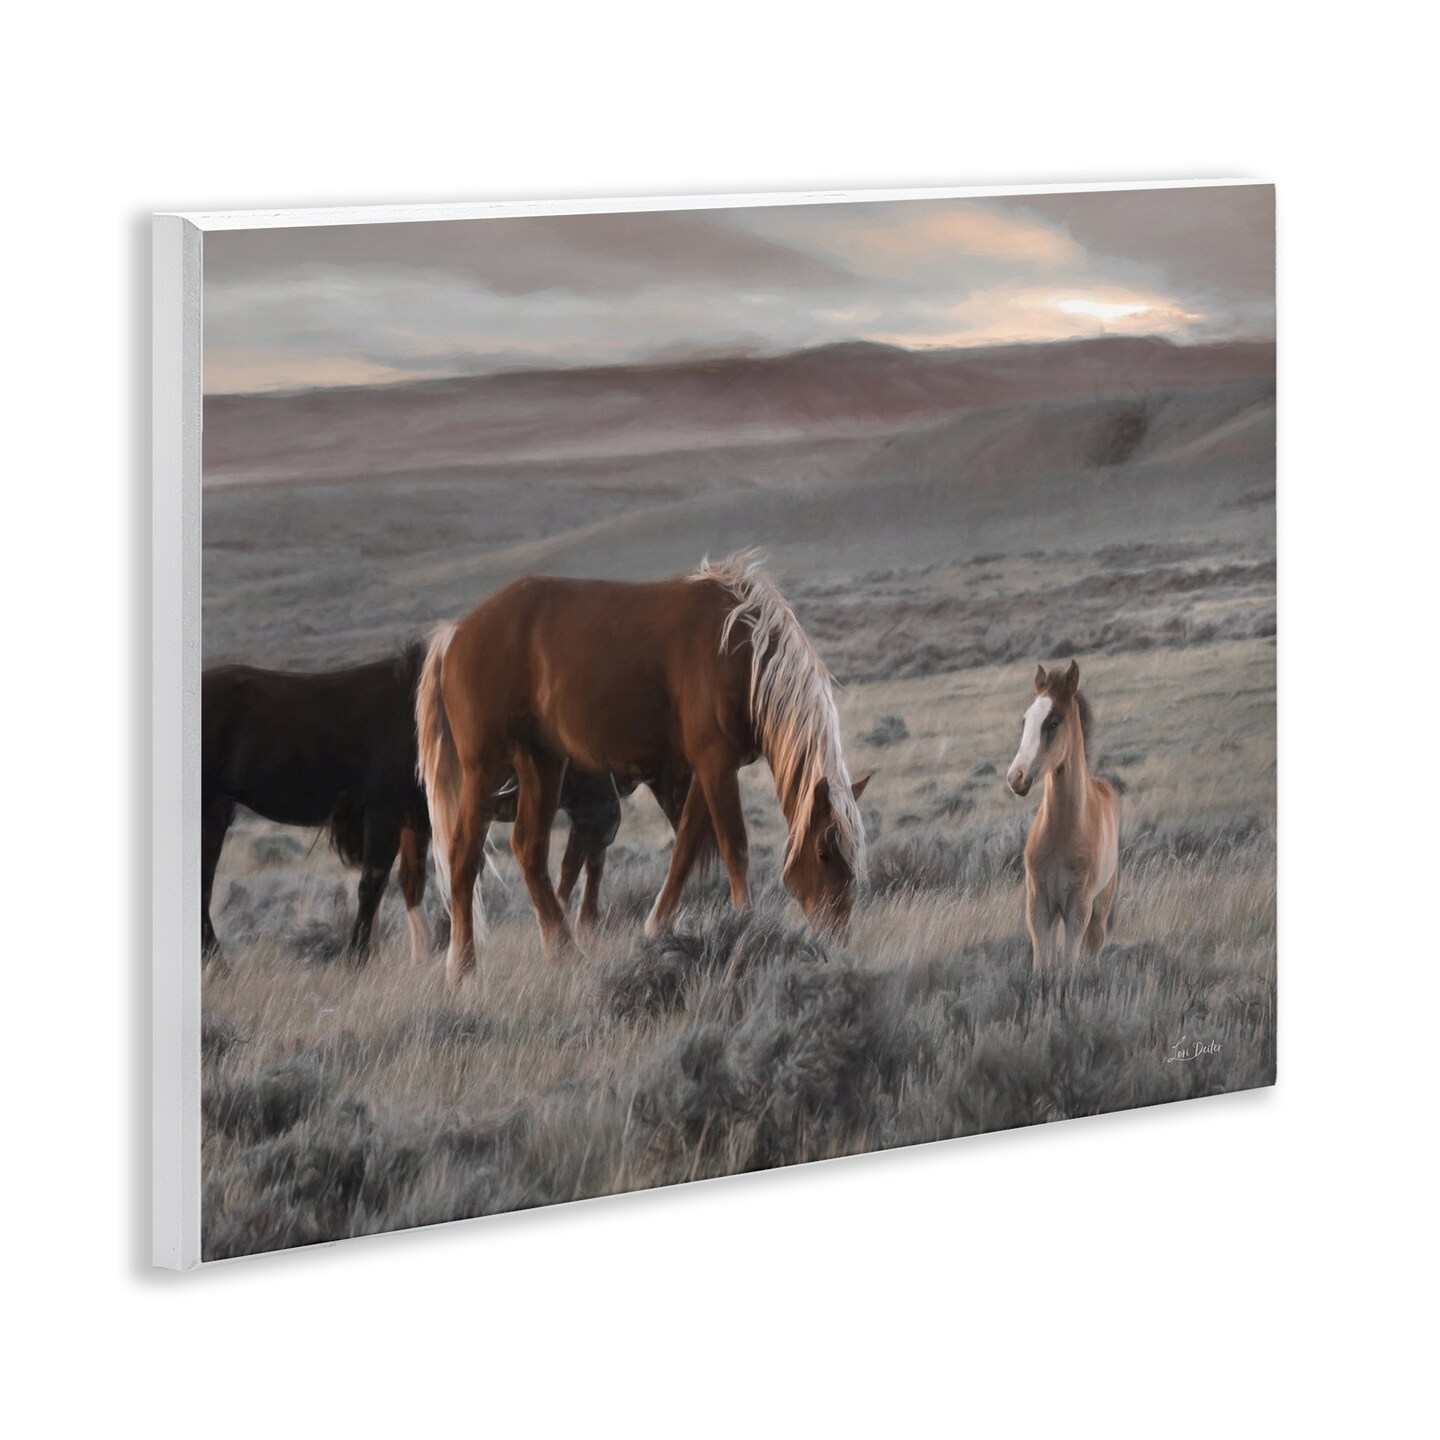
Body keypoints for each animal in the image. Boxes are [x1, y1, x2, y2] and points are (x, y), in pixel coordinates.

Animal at [416, 551, 870, 987]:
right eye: (824, 852)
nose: (838, 937)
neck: (742, 653)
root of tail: (455, 634)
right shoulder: (716, 763)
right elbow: (734, 846)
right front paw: (747, 924)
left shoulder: (706, 770)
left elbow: (685, 847)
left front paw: (656, 929)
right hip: (484, 770)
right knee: (463, 856)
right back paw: (463, 968)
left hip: (543, 763)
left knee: (529, 849)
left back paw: (564, 951)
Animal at [1006, 660, 1120, 969]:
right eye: (1025, 721)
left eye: (1054, 722)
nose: (1015, 777)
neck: (1062, 833)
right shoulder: (1039, 905)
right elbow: (1042, 965)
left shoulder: (1077, 908)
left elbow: (1069, 964)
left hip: (1101, 903)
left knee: (1095, 943)